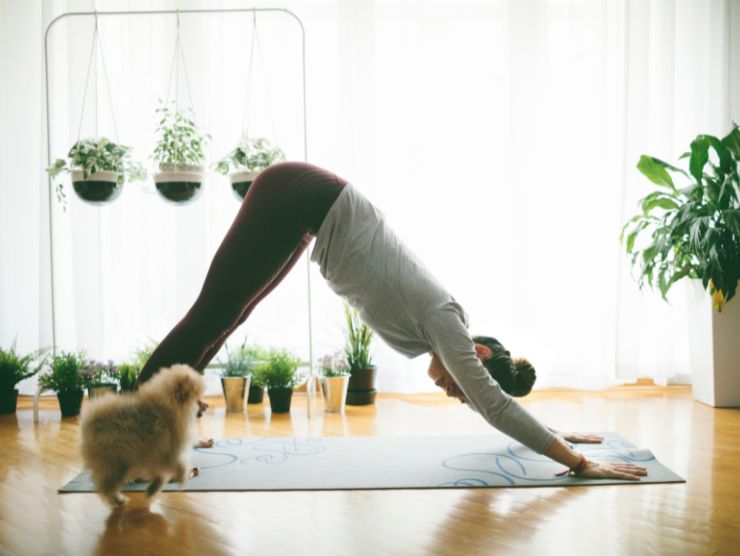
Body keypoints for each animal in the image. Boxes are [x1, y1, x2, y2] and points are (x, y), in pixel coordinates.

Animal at [81, 364, 205, 508]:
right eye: (197, 399)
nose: (204, 405)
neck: (166, 408)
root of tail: (92, 420)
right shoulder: (168, 453)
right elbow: (180, 466)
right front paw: (183, 477)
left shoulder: (157, 457)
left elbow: (162, 476)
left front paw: (152, 490)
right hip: (118, 462)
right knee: (107, 486)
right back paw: (119, 500)